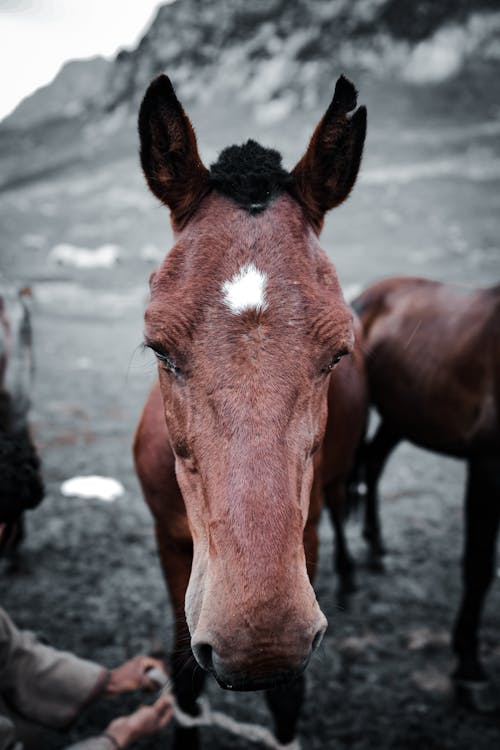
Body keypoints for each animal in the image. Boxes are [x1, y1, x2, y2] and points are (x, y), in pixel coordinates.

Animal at [133, 73, 368, 748]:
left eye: (338, 352)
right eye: (158, 347)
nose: (261, 641)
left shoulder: (304, 537)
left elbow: (288, 698)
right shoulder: (167, 542)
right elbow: (183, 678)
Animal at [354, 278, 500, 716]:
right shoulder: (486, 464)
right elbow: (478, 566)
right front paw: (467, 663)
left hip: (401, 416)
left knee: (373, 463)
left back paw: (376, 543)